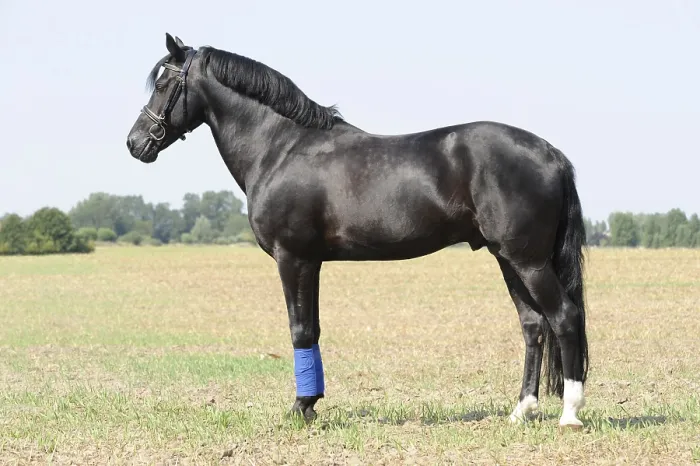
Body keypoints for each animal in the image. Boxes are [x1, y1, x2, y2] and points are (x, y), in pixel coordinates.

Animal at [126, 33, 590, 429]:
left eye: (164, 83)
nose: (135, 143)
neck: (281, 148)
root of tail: (551, 153)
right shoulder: (310, 261)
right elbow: (311, 329)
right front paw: (310, 404)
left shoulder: (293, 258)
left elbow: (300, 330)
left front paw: (301, 407)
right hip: (507, 258)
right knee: (533, 325)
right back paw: (522, 411)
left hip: (528, 261)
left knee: (564, 317)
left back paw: (569, 414)